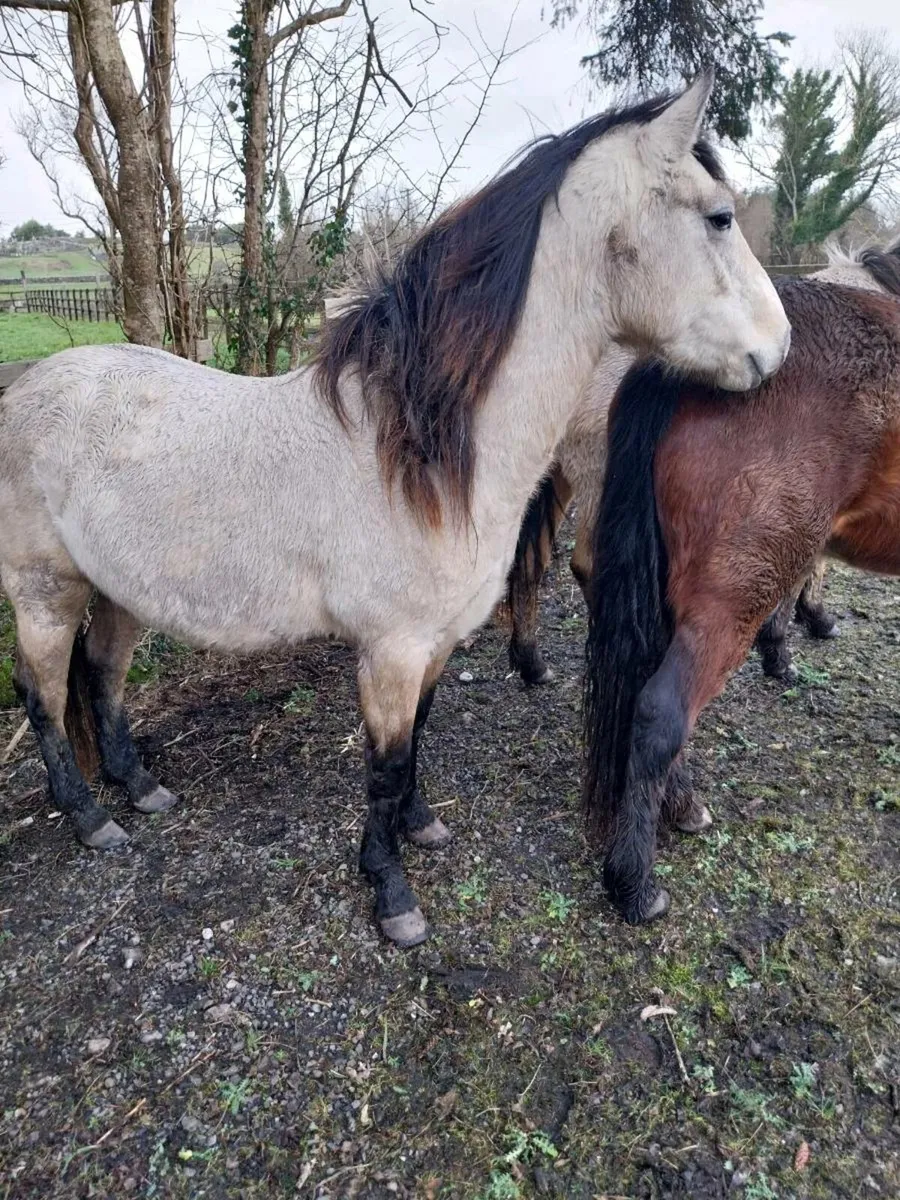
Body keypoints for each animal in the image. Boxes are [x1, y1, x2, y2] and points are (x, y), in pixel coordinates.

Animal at [0, 73, 790, 948]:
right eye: (719, 217)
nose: (780, 348)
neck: (422, 452)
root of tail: (26, 386)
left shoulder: (434, 643)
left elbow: (417, 741)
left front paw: (421, 827)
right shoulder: (390, 649)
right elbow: (383, 763)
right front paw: (392, 895)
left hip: (120, 591)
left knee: (101, 676)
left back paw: (139, 789)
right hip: (44, 591)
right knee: (42, 694)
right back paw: (89, 818)